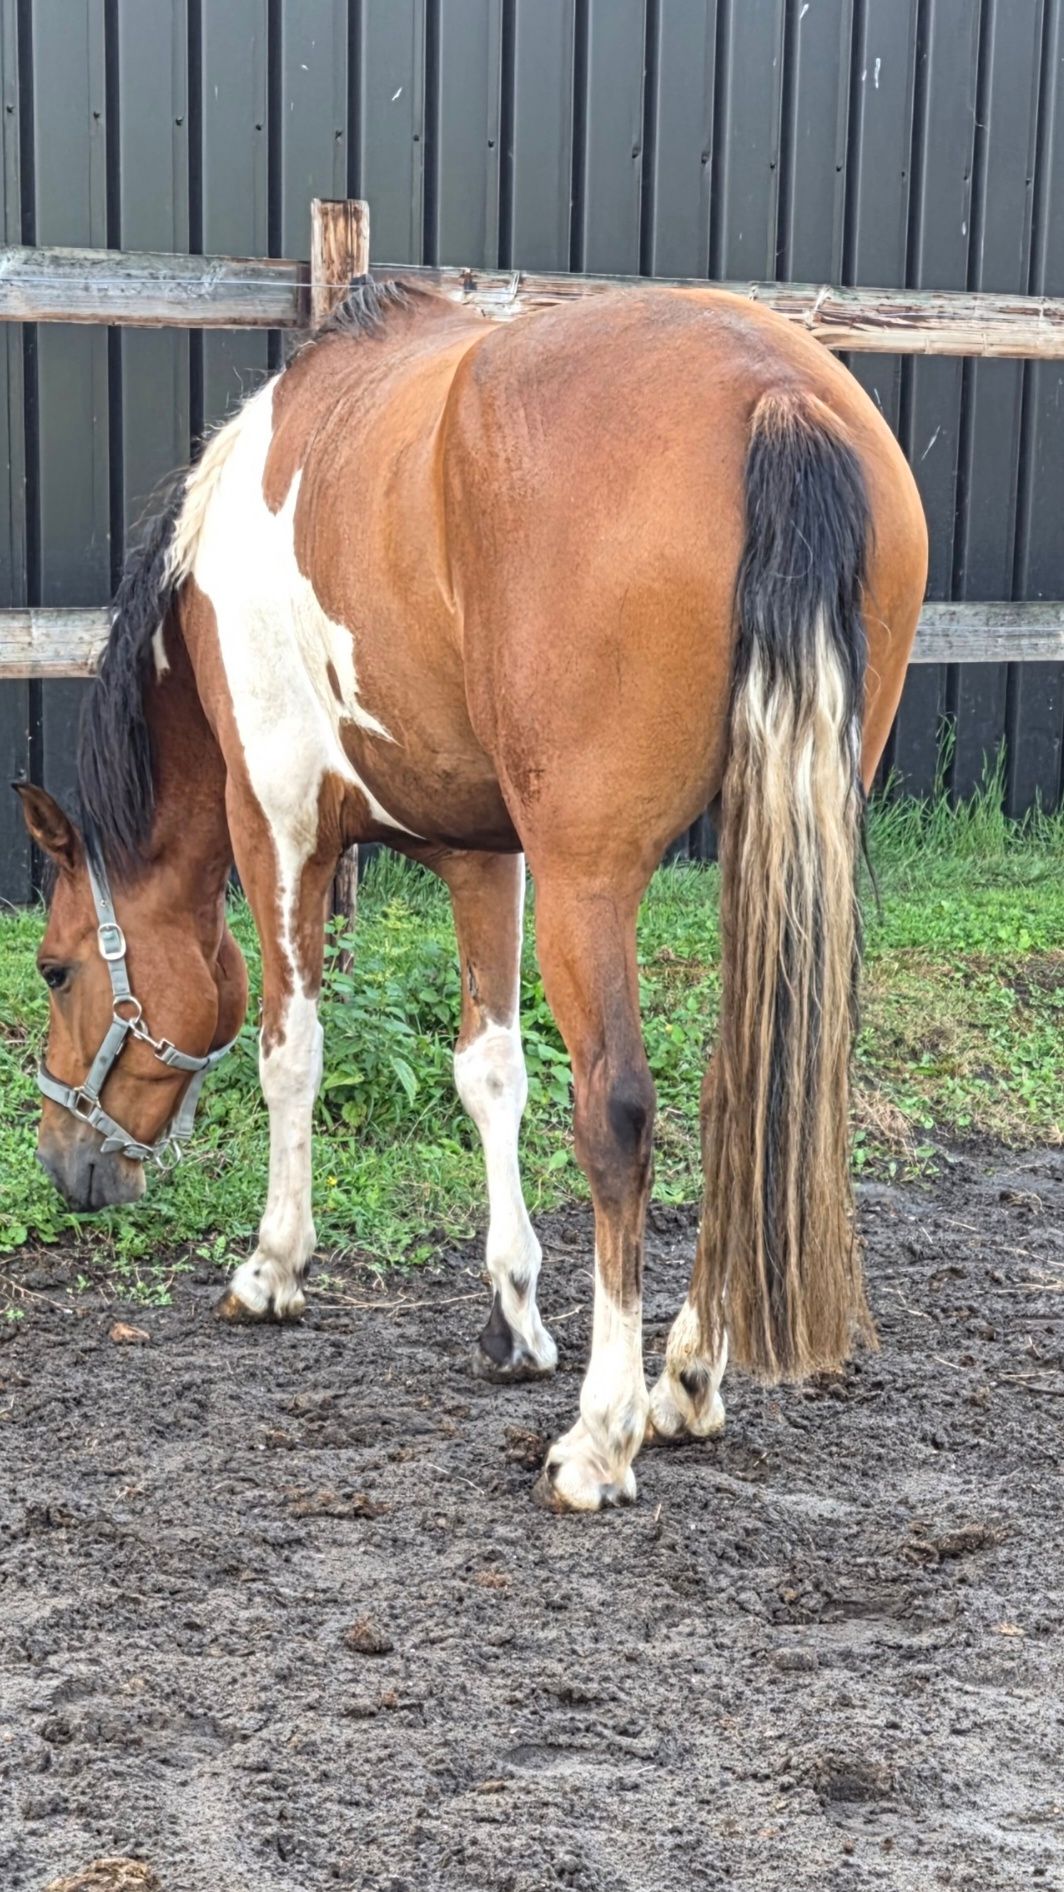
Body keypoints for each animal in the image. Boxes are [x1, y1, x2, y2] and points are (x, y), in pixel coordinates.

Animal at [15, 277, 927, 1512]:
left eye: (56, 969)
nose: (65, 1164)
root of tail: (772, 391)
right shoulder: (482, 852)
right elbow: (490, 1073)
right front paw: (512, 1315)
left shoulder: (279, 823)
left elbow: (288, 1051)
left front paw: (272, 1266)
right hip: (778, 840)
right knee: (746, 1089)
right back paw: (686, 1380)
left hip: (593, 881)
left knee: (620, 1112)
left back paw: (601, 1434)